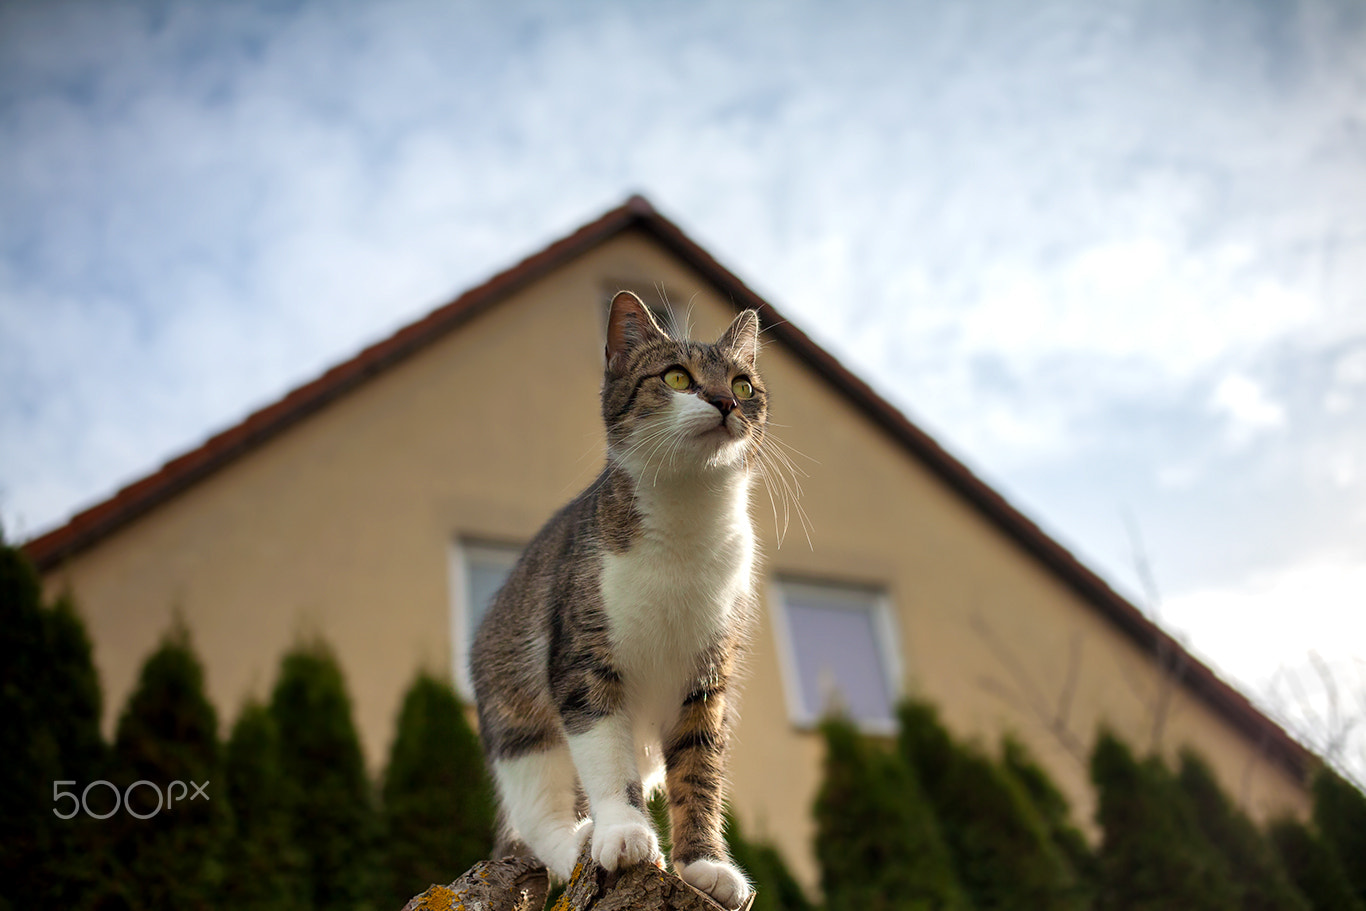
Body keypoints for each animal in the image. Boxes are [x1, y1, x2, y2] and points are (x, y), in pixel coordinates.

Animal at [469, 288, 770, 906]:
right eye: (677, 377)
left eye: (745, 384)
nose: (727, 401)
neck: (685, 526)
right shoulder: (582, 656)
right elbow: (607, 753)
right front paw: (624, 832)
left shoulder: (709, 672)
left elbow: (699, 766)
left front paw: (704, 865)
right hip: (517, 718)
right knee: (538, 810)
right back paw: (576, 840)